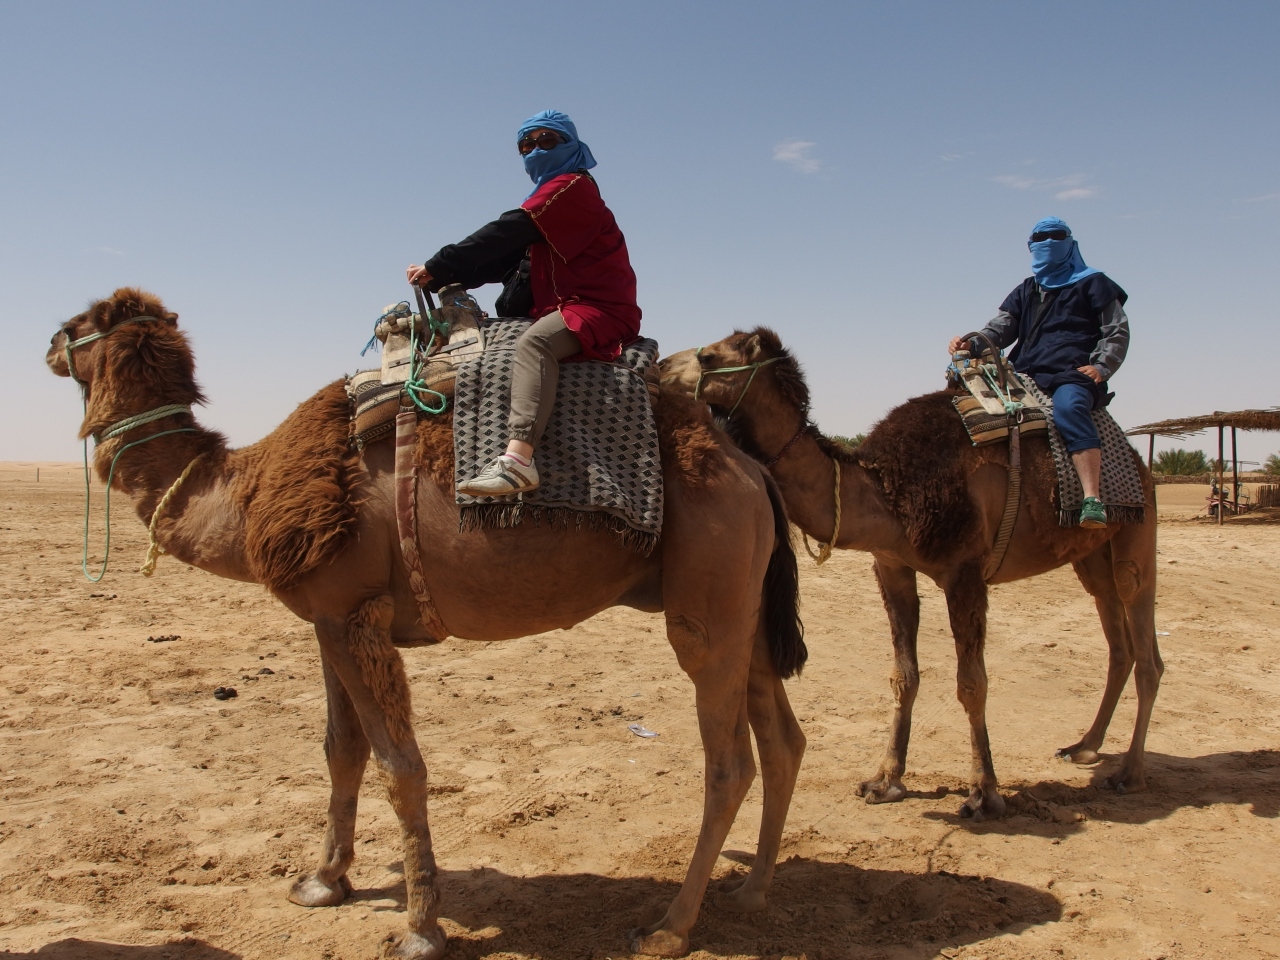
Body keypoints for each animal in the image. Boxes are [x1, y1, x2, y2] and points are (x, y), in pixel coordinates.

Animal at [49, 288, 814, 960]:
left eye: (79, 323)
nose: (51, 345)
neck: (241, 492)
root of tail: (751, 473)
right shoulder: (332, 616)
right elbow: (341, 749)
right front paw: (321, 882)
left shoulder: (352, 614)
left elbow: (400, 767)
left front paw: (420, 928)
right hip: (741, 606)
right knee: (783, 740)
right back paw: (751, 891)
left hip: (707, 601)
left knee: (729, 763)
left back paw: (669, 927)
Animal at [660, 330, 1162, 819]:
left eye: (708, 357)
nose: (660, 366)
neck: (888, 491)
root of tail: (1137, 459)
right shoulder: (892, 566)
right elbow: (905, 676)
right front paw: (885, 780)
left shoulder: (965, 572)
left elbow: (972, 684)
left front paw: (985, 794)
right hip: (1090, 555)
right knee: (1118, 641)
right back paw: (1085, 747)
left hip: (1137, 531)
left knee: (1144, 641)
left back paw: (1130, 773)